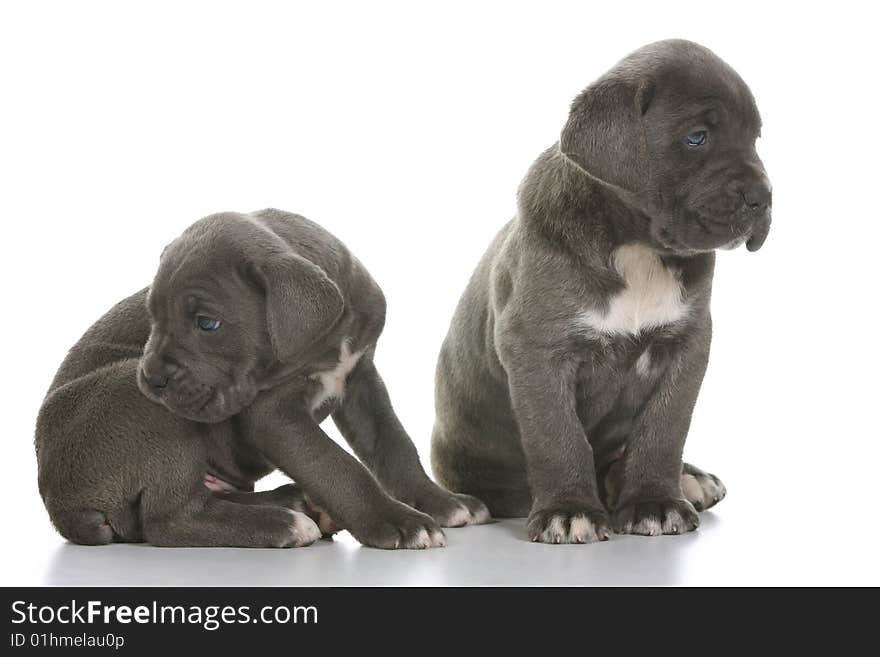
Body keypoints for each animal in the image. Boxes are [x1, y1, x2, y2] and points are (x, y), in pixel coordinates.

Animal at [37, 209, 488, 548]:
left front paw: (441, 502)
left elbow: (394, 446)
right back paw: (285, 524)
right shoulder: (272, 415)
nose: (151, 378)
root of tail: (59, 504)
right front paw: (395, 520)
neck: (327, 337)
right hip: (143, 409)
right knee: (170, 519)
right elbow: (335, 463)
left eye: (207, 323)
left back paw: (295, 504)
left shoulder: (361, 381)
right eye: (153, 316)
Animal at [432, 39, 768, 544]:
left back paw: (687, 479)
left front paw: (655, 501)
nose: (762, 198)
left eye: (755, 139)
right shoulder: (538, 349)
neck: (636, 244)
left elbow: (664, 428)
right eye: (697, 137)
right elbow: (558, 436)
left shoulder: (686, 345)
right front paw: (569, 510)